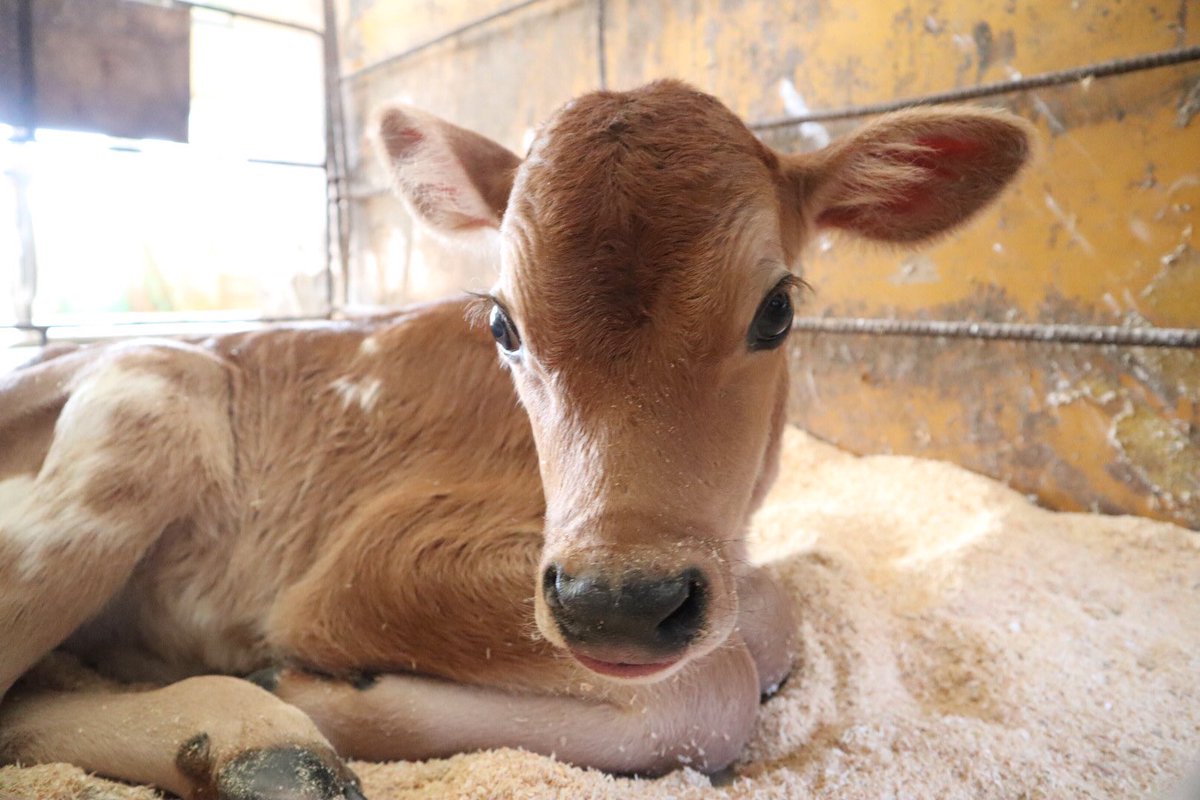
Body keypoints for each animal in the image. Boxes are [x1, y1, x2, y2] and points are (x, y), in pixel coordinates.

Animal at [0, 82, 1032, 800]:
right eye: (503, 323)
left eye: (776, 309)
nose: (618, 605)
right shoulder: (378, 562)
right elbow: (715, 683)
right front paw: (321, 687)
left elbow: (774, 610)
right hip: (150, 405)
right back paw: (266, 732)